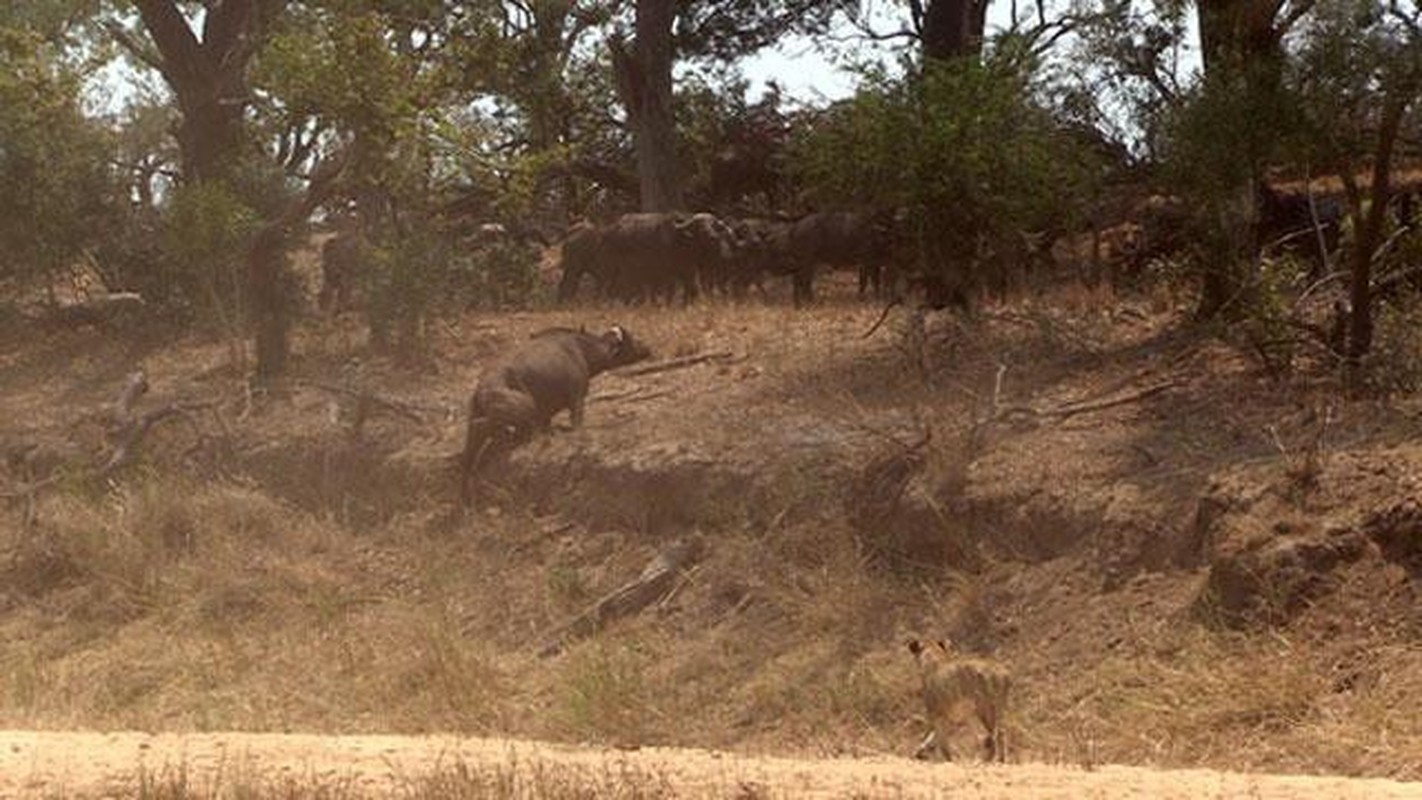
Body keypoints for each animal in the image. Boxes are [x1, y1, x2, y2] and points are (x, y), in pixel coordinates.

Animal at [457, 322, 651, 503]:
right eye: (631, 341)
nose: (647, 348)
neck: (581, 349)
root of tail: (482, 390)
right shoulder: (576, 399)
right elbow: (577, 423)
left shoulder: (546, 415)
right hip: (525, 406)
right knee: (485, 427)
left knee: (471, 451)